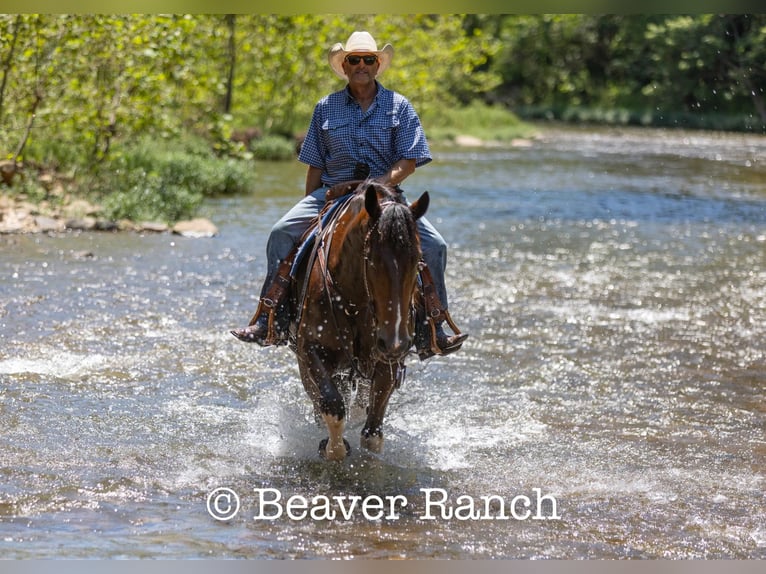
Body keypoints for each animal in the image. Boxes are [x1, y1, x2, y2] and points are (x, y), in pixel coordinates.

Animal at [288, 181, 429, 461]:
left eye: (418, 260)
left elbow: (372, 432)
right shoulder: (310, 350)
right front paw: (332, 448)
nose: (395, 341)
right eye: (371, 260)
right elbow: (332, 406)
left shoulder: (386, 361)